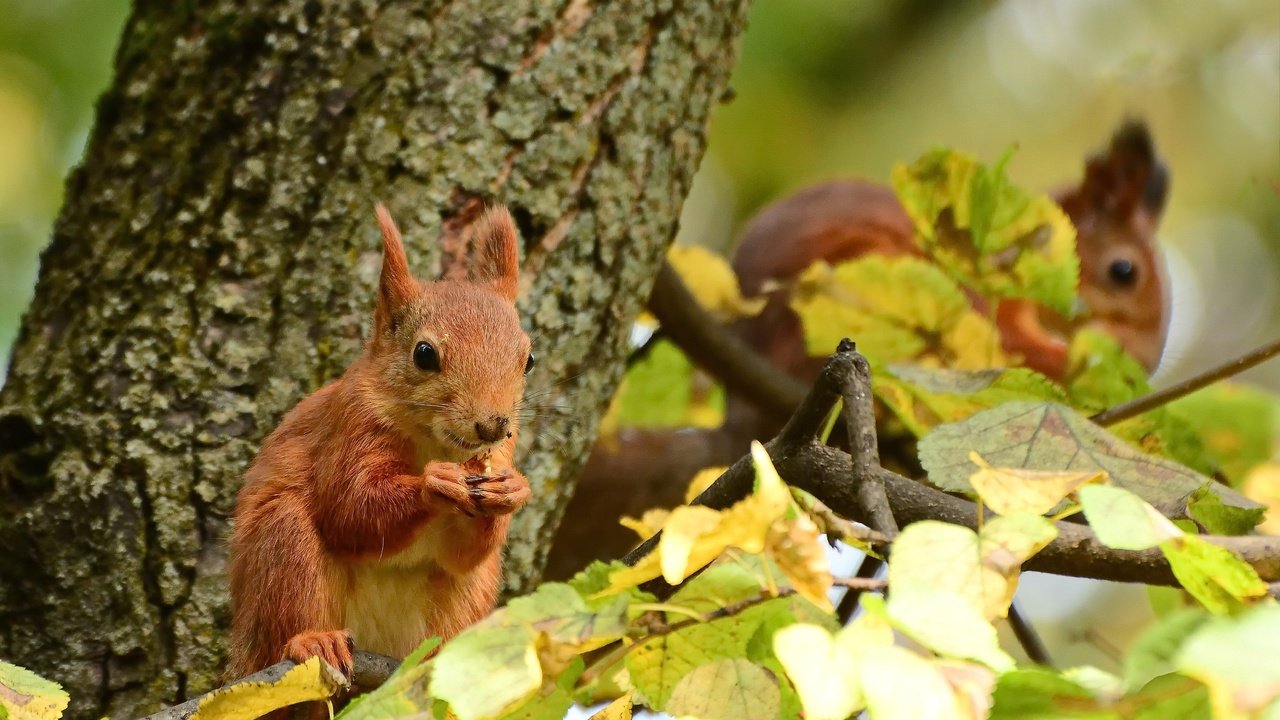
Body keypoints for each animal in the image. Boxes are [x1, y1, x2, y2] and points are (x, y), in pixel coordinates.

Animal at [227, 203, 532, 681]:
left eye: (529, 359)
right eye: (424, 354)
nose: (492, 425)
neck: (434, 442)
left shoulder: (500, 452)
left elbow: (464, 555)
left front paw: (514, 489)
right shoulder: (350, 427)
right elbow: (349, 509)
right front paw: (435, 483)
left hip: (467, 597)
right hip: (281, 549)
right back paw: (313, 639)